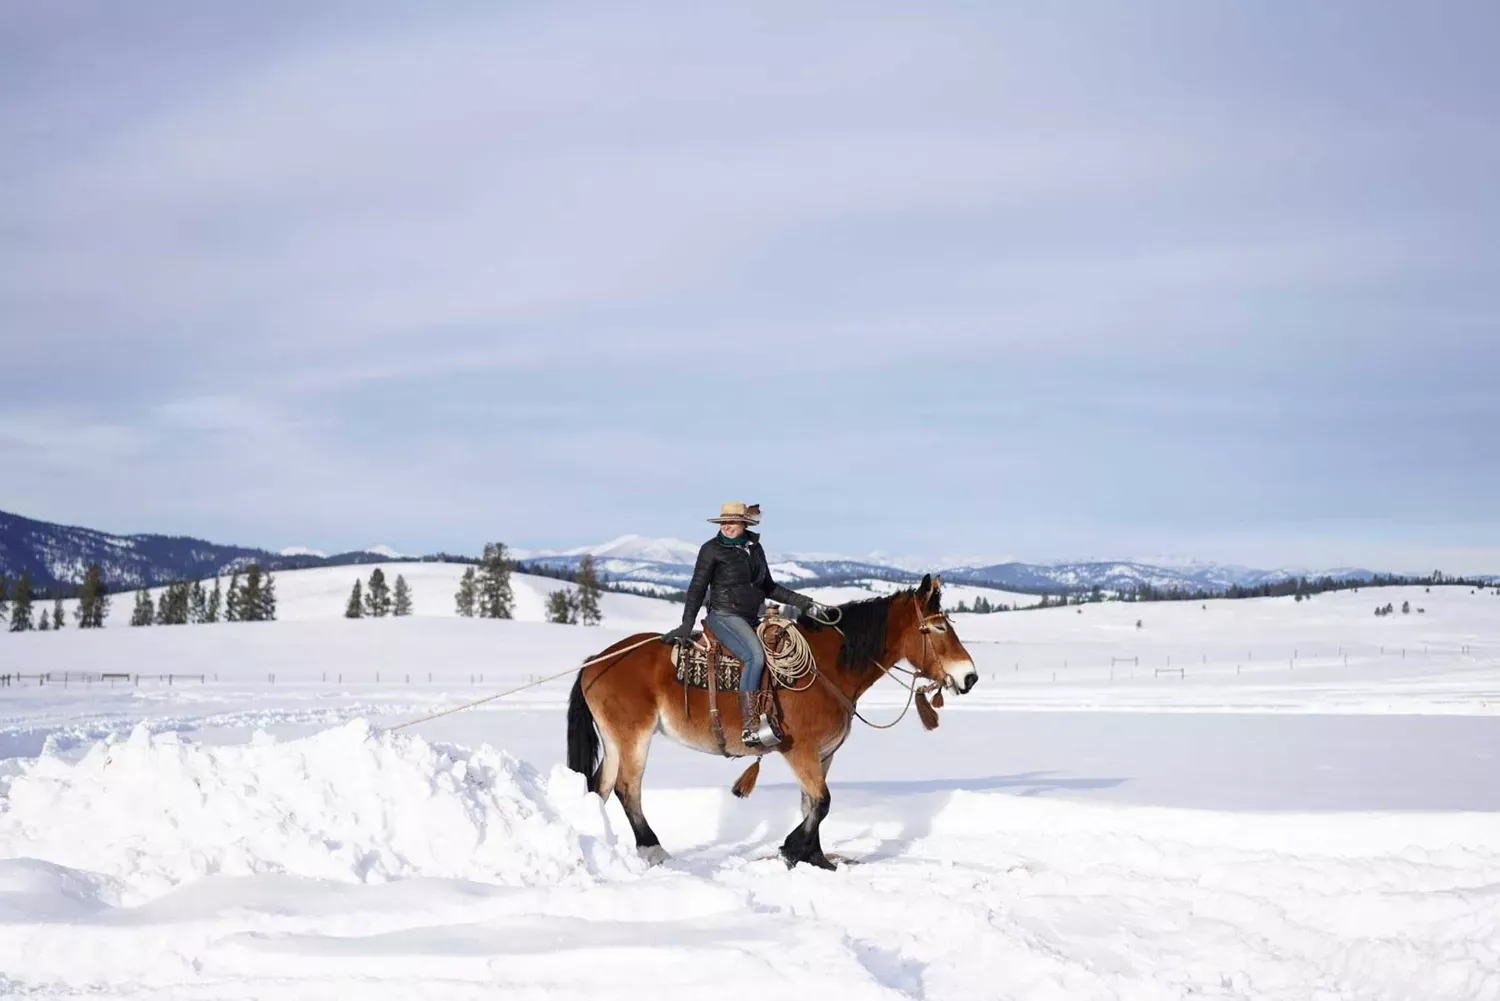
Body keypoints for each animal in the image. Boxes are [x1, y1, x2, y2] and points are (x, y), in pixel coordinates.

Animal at [567, 576, 978, 870]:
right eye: (937, 628)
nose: (970, 676)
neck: (826, 669)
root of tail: (595, 660)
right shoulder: (800, 750)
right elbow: (822, 802)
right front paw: (792, 850)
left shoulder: (824, 754)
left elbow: (811, 804)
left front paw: (816, 858)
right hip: (633, 736)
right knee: (627, 789)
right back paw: (653, 849)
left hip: (615, 740)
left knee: (600, 787)